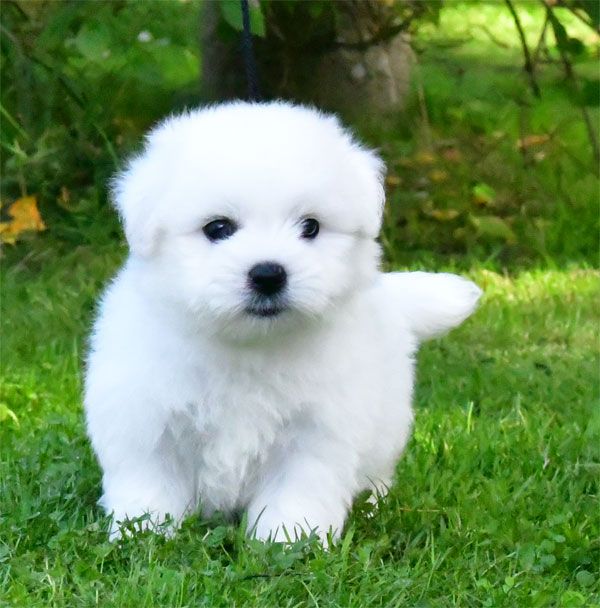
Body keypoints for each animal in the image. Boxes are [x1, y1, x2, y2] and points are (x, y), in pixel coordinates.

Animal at [84, 102, 480, 544]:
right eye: (217, 228)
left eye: (310, 226)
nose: (268, 274)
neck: (249, 346)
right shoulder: (147, 419)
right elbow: (150, 482)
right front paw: (144, 533)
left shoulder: (316, 431)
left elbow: (299, 489)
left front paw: (290, 540)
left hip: (387, 420)